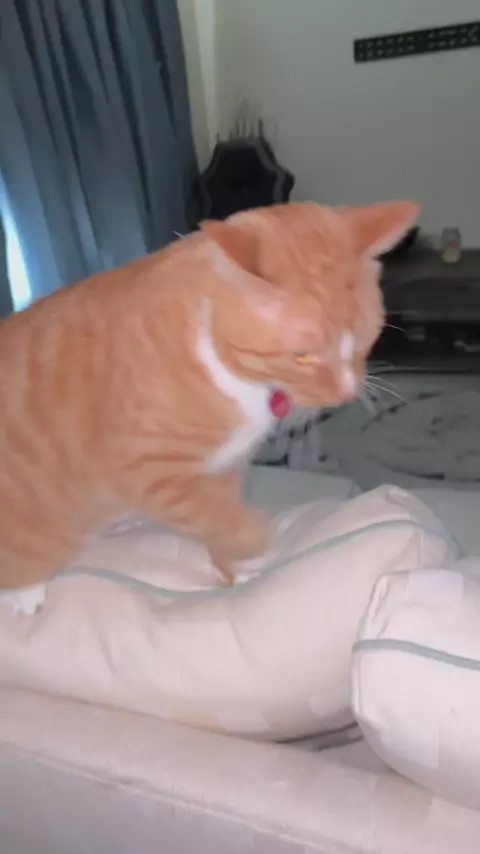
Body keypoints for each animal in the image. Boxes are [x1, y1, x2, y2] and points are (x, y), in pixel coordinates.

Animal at [0, 200, 419, 613]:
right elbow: (223, 518)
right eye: (303, 356)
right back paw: (24, 589)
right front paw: (256, 543)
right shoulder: (148, 470)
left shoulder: (222, 470)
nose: (348, 392)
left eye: (366, 339)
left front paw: (239, 567)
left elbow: (217, 516)